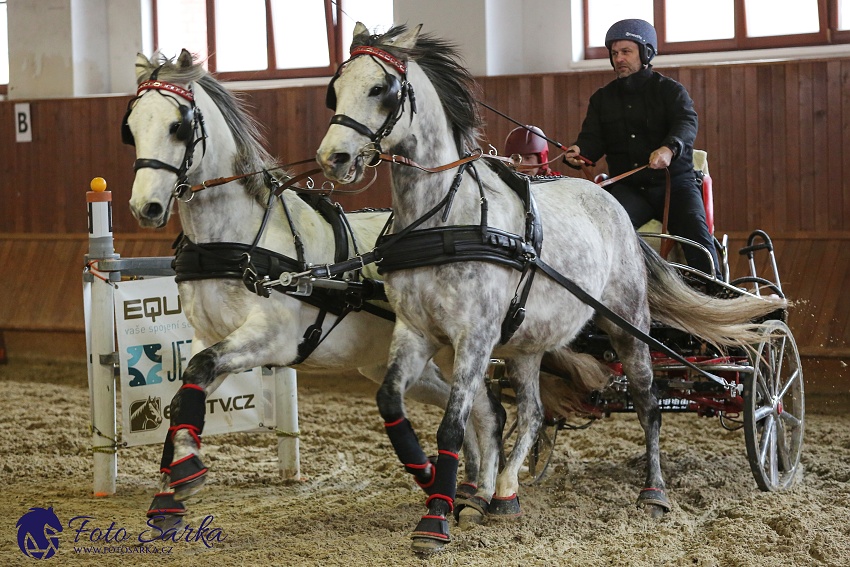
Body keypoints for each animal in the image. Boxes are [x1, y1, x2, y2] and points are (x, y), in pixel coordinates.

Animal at [314, 23, 784, 556]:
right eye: (335, 89)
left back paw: (655, 492)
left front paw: (435, 517)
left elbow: (453, 424)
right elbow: (393, 405)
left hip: (629, 324)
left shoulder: (474, 337)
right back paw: (504, 493)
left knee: (648, 403)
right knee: (535, 411)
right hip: (526, 343)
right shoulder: (416, 331)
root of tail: (614, 205)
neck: (445, 219)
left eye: (381, 89)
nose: (333, 158)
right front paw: (433, 478)